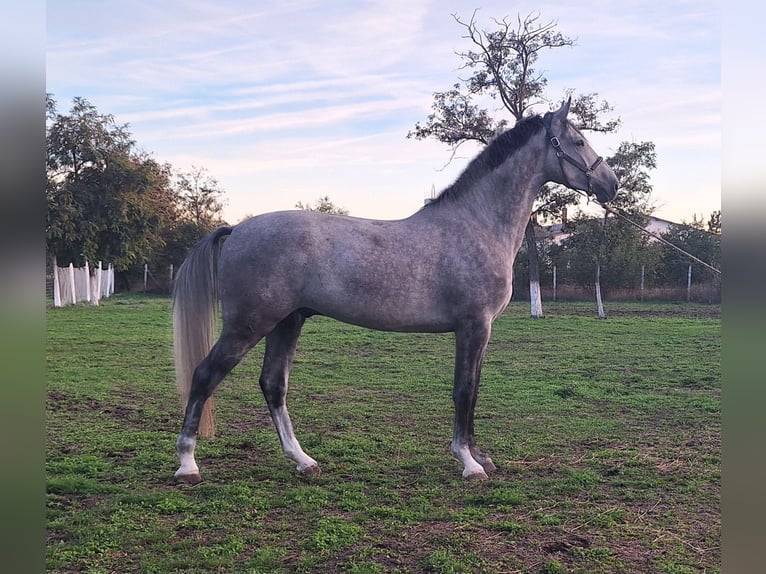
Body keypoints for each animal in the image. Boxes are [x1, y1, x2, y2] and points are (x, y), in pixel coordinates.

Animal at [172, 97, 616, 484]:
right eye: (578, 142)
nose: (611, 184)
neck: (476, 224)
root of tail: (236, 229)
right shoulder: (473, 327)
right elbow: (463, 391)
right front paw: (468, 462)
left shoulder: (481, 331)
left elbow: (473, 390)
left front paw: (480, 456)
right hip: (248, 324)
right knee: (205, 376)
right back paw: (187, 465)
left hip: (287, 322)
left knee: (273, 385)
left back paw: (304, 460)